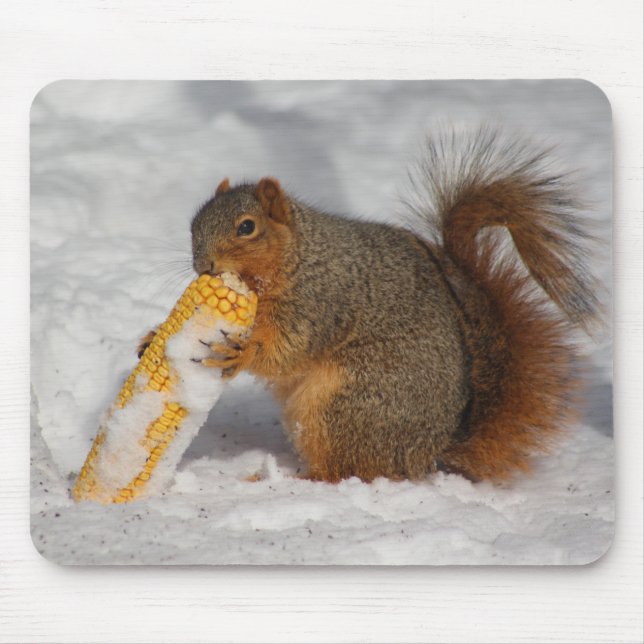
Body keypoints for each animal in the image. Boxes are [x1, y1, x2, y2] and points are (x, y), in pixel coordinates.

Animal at [146, 127, 600, 483]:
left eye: (247, 227)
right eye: (194, 223)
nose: (203, 265)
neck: (299, 256)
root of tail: (429, 452)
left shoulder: (321, 302)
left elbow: (287, 349)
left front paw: (240, 354)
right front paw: (150, 338)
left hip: (345, 406)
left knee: (348, 471)